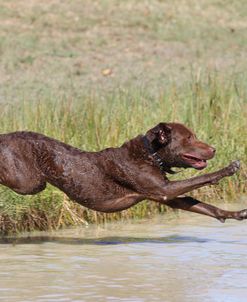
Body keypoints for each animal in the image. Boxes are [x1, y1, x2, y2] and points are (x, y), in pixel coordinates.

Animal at [0, 121, 245, 223]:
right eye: (189, 138)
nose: (213, 149)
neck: (151, 154)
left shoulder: (165, 196)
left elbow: (203, 206)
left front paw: (235, 214)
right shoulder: (163, 190)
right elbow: (204, 177)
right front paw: (229, 168)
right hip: (29, 183)